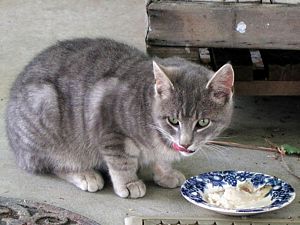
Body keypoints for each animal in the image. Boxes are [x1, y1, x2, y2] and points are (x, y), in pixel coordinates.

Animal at [5, 38, 233, 199]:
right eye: (173, 121)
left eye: (203, 122)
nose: (185, 143)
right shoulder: (110, 128)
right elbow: (121, 161)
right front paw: (129, 183)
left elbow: (161, 159)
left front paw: (165, 173)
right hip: (46, 109)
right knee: (53, 164)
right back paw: (85, 174)